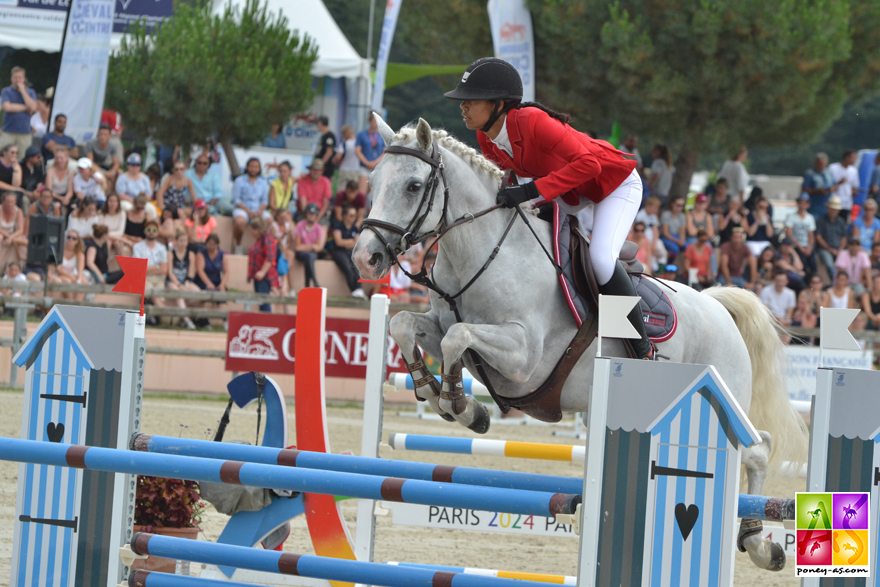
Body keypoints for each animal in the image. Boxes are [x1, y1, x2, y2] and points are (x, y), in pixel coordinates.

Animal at [354, 117, 808, 572]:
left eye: (413, 185)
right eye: (371, 181)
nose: (364, 259)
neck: (484, 253)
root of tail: (716, 305)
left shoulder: (522, 358)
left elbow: (456, 338)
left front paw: (459, 404)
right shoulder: (443, 326)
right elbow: (404, 325)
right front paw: (442, 396)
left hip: (724, 394)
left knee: (758, 450)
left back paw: (760, 544)